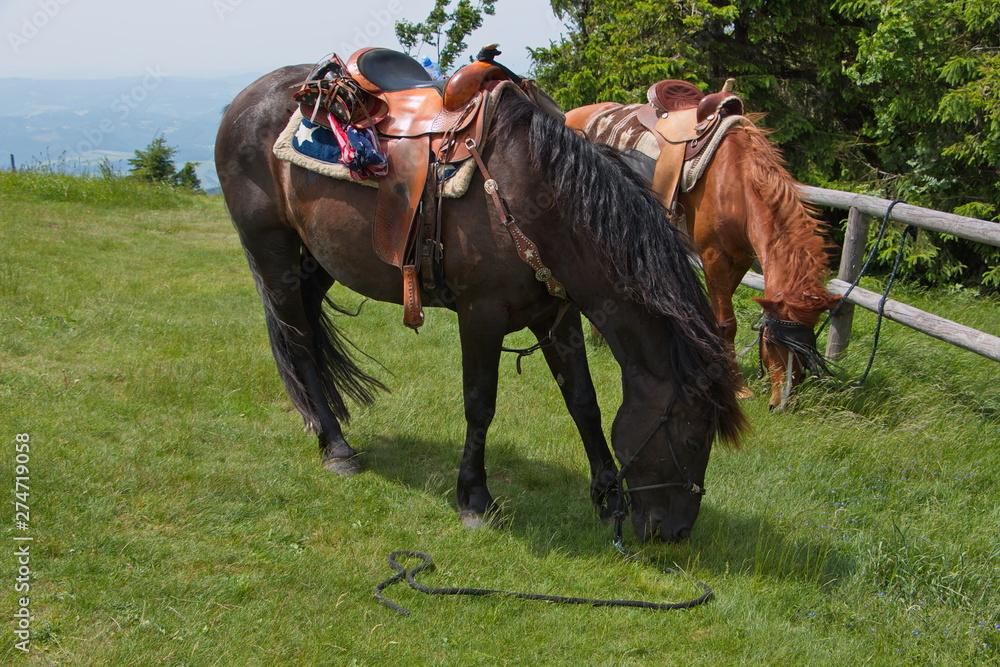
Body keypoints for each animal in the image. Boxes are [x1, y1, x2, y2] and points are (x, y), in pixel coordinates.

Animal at [216, 64, 747, 542]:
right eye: (694, 437)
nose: (675, 533)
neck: (531, 192)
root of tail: (245, 98)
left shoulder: (557, 317)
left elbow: (583, 402)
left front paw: (606, 494)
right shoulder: (480, 316)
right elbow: (480, 405)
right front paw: (474, 498)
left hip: (318, 259)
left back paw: (316, 420)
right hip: (272, 252)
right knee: (298, 340)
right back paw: (335, 446)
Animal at [565, 101, 840, 411]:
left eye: (808, 347)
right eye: (770, 341)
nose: (782, 404)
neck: (735, 180)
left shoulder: (740, 260)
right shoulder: (713, 255)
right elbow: (727, 323)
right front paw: (738, 388)